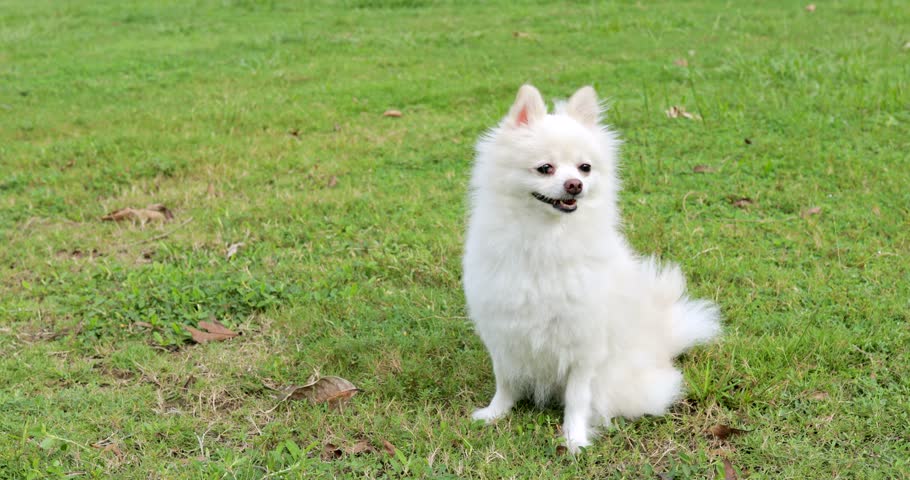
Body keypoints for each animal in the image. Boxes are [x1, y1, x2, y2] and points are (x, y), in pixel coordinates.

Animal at [466, 84, 724, 452]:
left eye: (584, 167)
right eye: (545, 168)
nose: (575, 184)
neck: (547, 238)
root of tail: (662, 343)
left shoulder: (584, 345)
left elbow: (576, 397)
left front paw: (574, 438)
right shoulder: (504, 332)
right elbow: (506, 381)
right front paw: (495, 413)